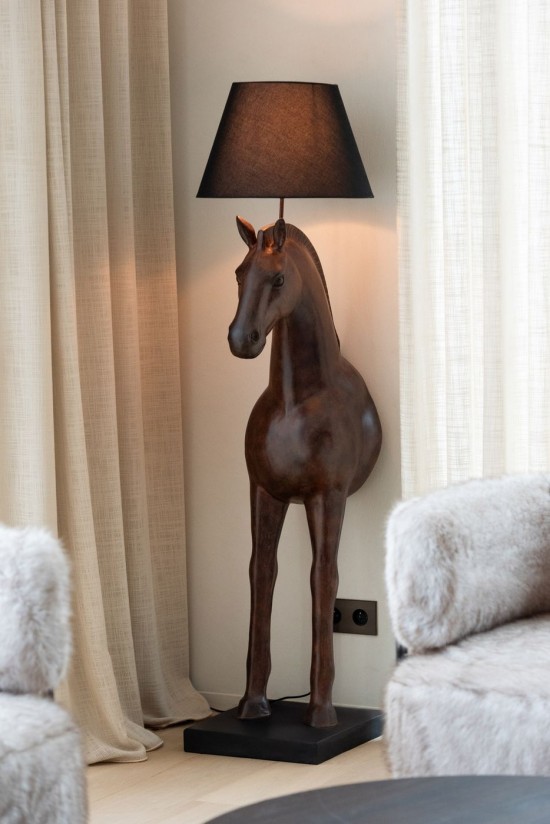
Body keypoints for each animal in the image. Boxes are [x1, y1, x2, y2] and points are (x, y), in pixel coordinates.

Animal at [228, 216, 382, 728]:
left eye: (277, 279)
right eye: (239, 274)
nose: (242, 339)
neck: (296, 401)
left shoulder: (326, 496)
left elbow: (323, 578)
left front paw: (322, 710)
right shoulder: (263, 492)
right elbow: (262, 574)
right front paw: (252, 703)